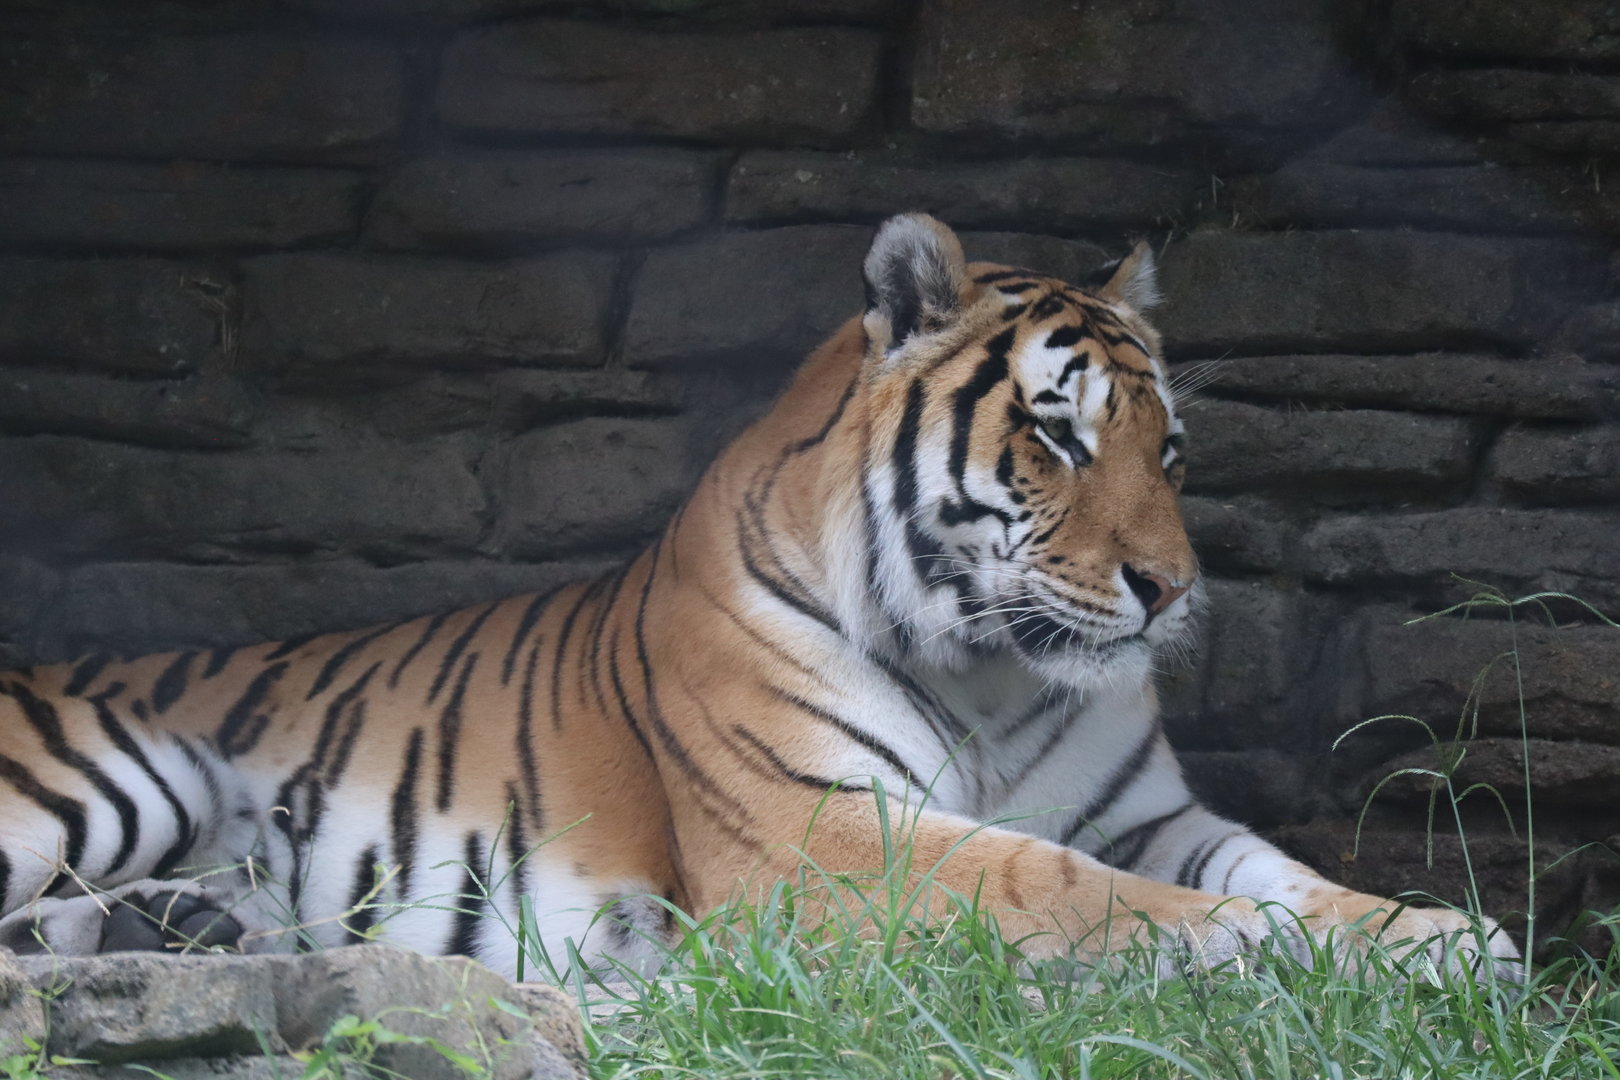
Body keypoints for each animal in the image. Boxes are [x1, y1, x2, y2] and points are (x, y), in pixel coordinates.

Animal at [0, 213, 1519, 982]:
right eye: (1058, 436)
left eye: (1173, 453)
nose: (1172, 589)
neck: (995, 674)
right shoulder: (821, 835)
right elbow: (1074, 886)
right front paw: (1284, 953)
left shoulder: (1153, 816)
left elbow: (1278, 869)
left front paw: (1445, 940)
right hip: (116, 781)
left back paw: (165, 932)